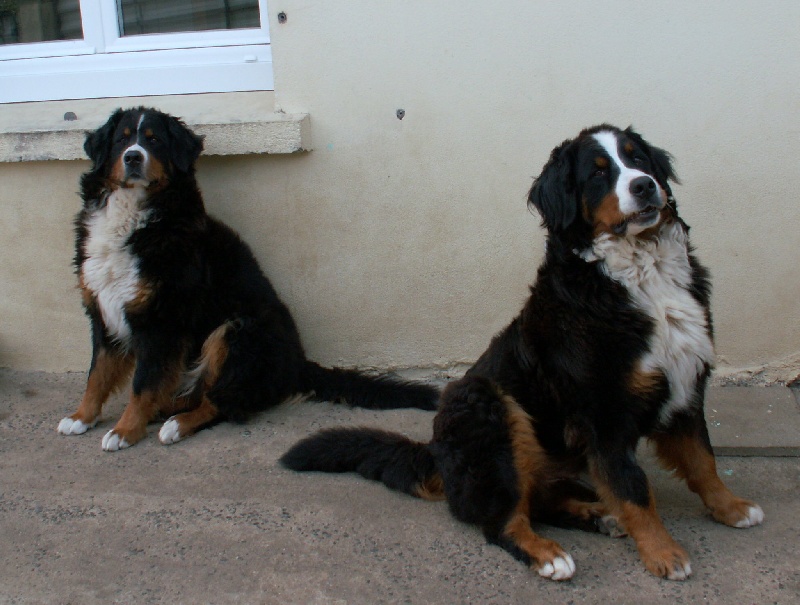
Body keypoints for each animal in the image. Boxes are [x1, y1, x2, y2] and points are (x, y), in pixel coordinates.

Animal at [57, 107, 438, 448]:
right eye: (122, 140)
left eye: (154, 141)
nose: (134, 157)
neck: (134, 216)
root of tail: (298, 363)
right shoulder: (103, 311)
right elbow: (97, 374)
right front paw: (81, 417)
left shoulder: (160, 320)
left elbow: (142, 384)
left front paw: (124, 430)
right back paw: (166, 409)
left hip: (238, 329)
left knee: (223, 402)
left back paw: (176, 424)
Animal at [282, 124, 764, 580]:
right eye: (597, 174)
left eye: (638, 159)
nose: (644, 186)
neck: (643, 276)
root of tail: (434, 451)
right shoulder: (605, 412)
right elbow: (634, 489)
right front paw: (664, 554)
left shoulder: (685, 385)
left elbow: (703, 460)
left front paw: (731, 508)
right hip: (486, 404)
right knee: (501, 520)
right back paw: (549, 554)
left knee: (541, 500)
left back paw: (598, 515)